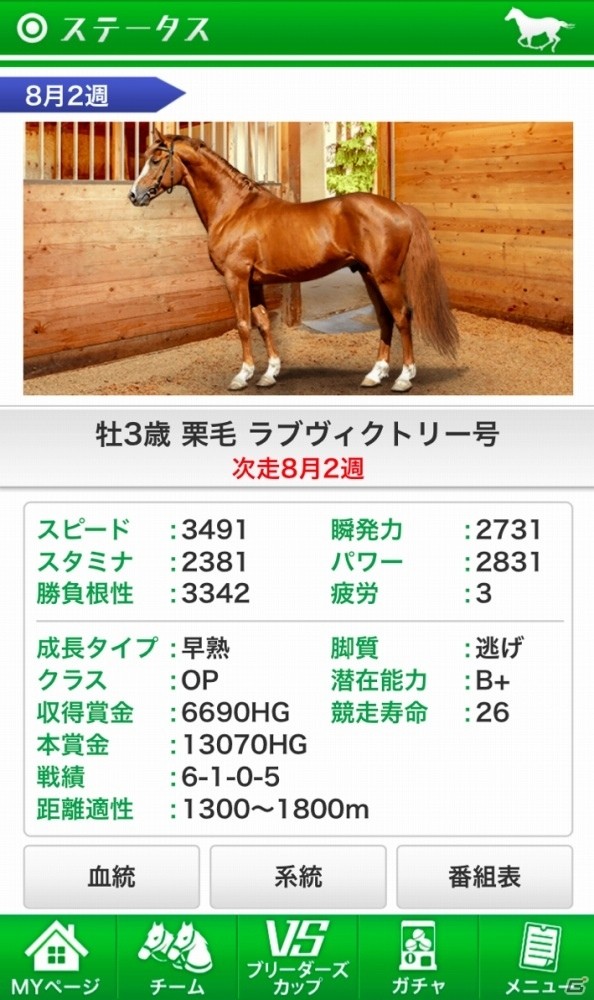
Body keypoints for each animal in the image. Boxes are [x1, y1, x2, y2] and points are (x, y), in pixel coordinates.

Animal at [129, 130, 458, 393]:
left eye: (156, 160)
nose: (134, 195)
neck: (234, 209)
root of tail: (399, 208)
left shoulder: (236, 277)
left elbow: (243, 324)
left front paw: (242, 376)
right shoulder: (254, 282)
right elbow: (263, 324)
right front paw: (269, 373)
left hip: (385, 276)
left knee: (402, 316)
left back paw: (404, 378)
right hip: (368, 275)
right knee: (384, 318)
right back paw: (375, 375)